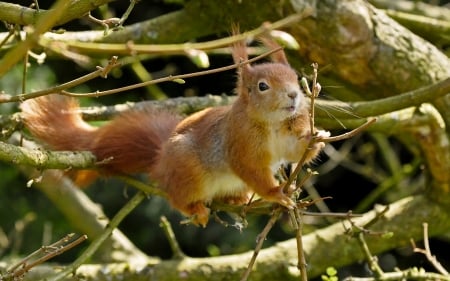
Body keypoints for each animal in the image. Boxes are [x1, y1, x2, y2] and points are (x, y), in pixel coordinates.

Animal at [21, 35, 328, 228]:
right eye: (263, 86)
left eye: (295, 78)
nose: (294, 95)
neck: (271, 123)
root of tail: (161, 162)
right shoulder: (239, 140)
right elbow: (249, 168)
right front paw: (276, 193)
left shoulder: (286, 136)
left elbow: (294, 151)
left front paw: (317, 140)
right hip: (188, 171)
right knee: (176, 197)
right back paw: (196, 209)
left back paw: (238, 200)